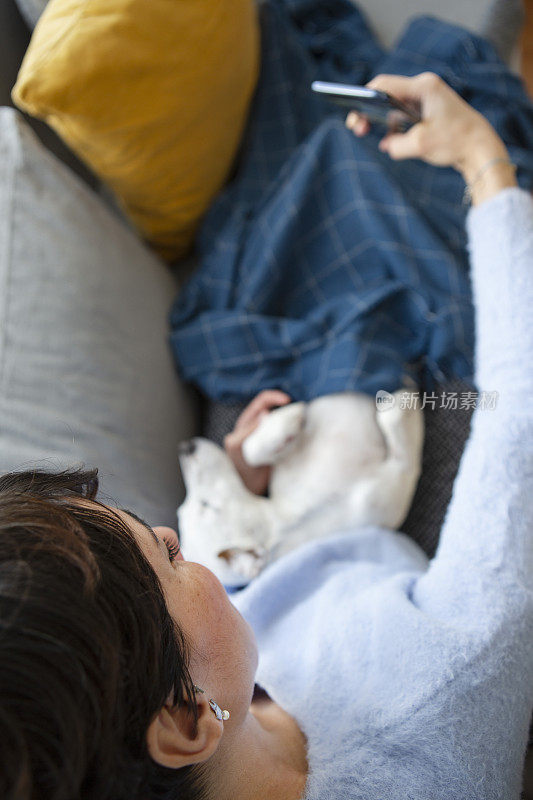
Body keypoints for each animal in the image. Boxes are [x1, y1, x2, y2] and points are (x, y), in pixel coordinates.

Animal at [177, 390, 422, 588]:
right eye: (207, 504)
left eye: (183, 510)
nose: (185, 447)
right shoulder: (390, 490)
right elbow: (398, 433)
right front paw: (404, 400)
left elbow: (249, 451)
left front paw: (283, 420)